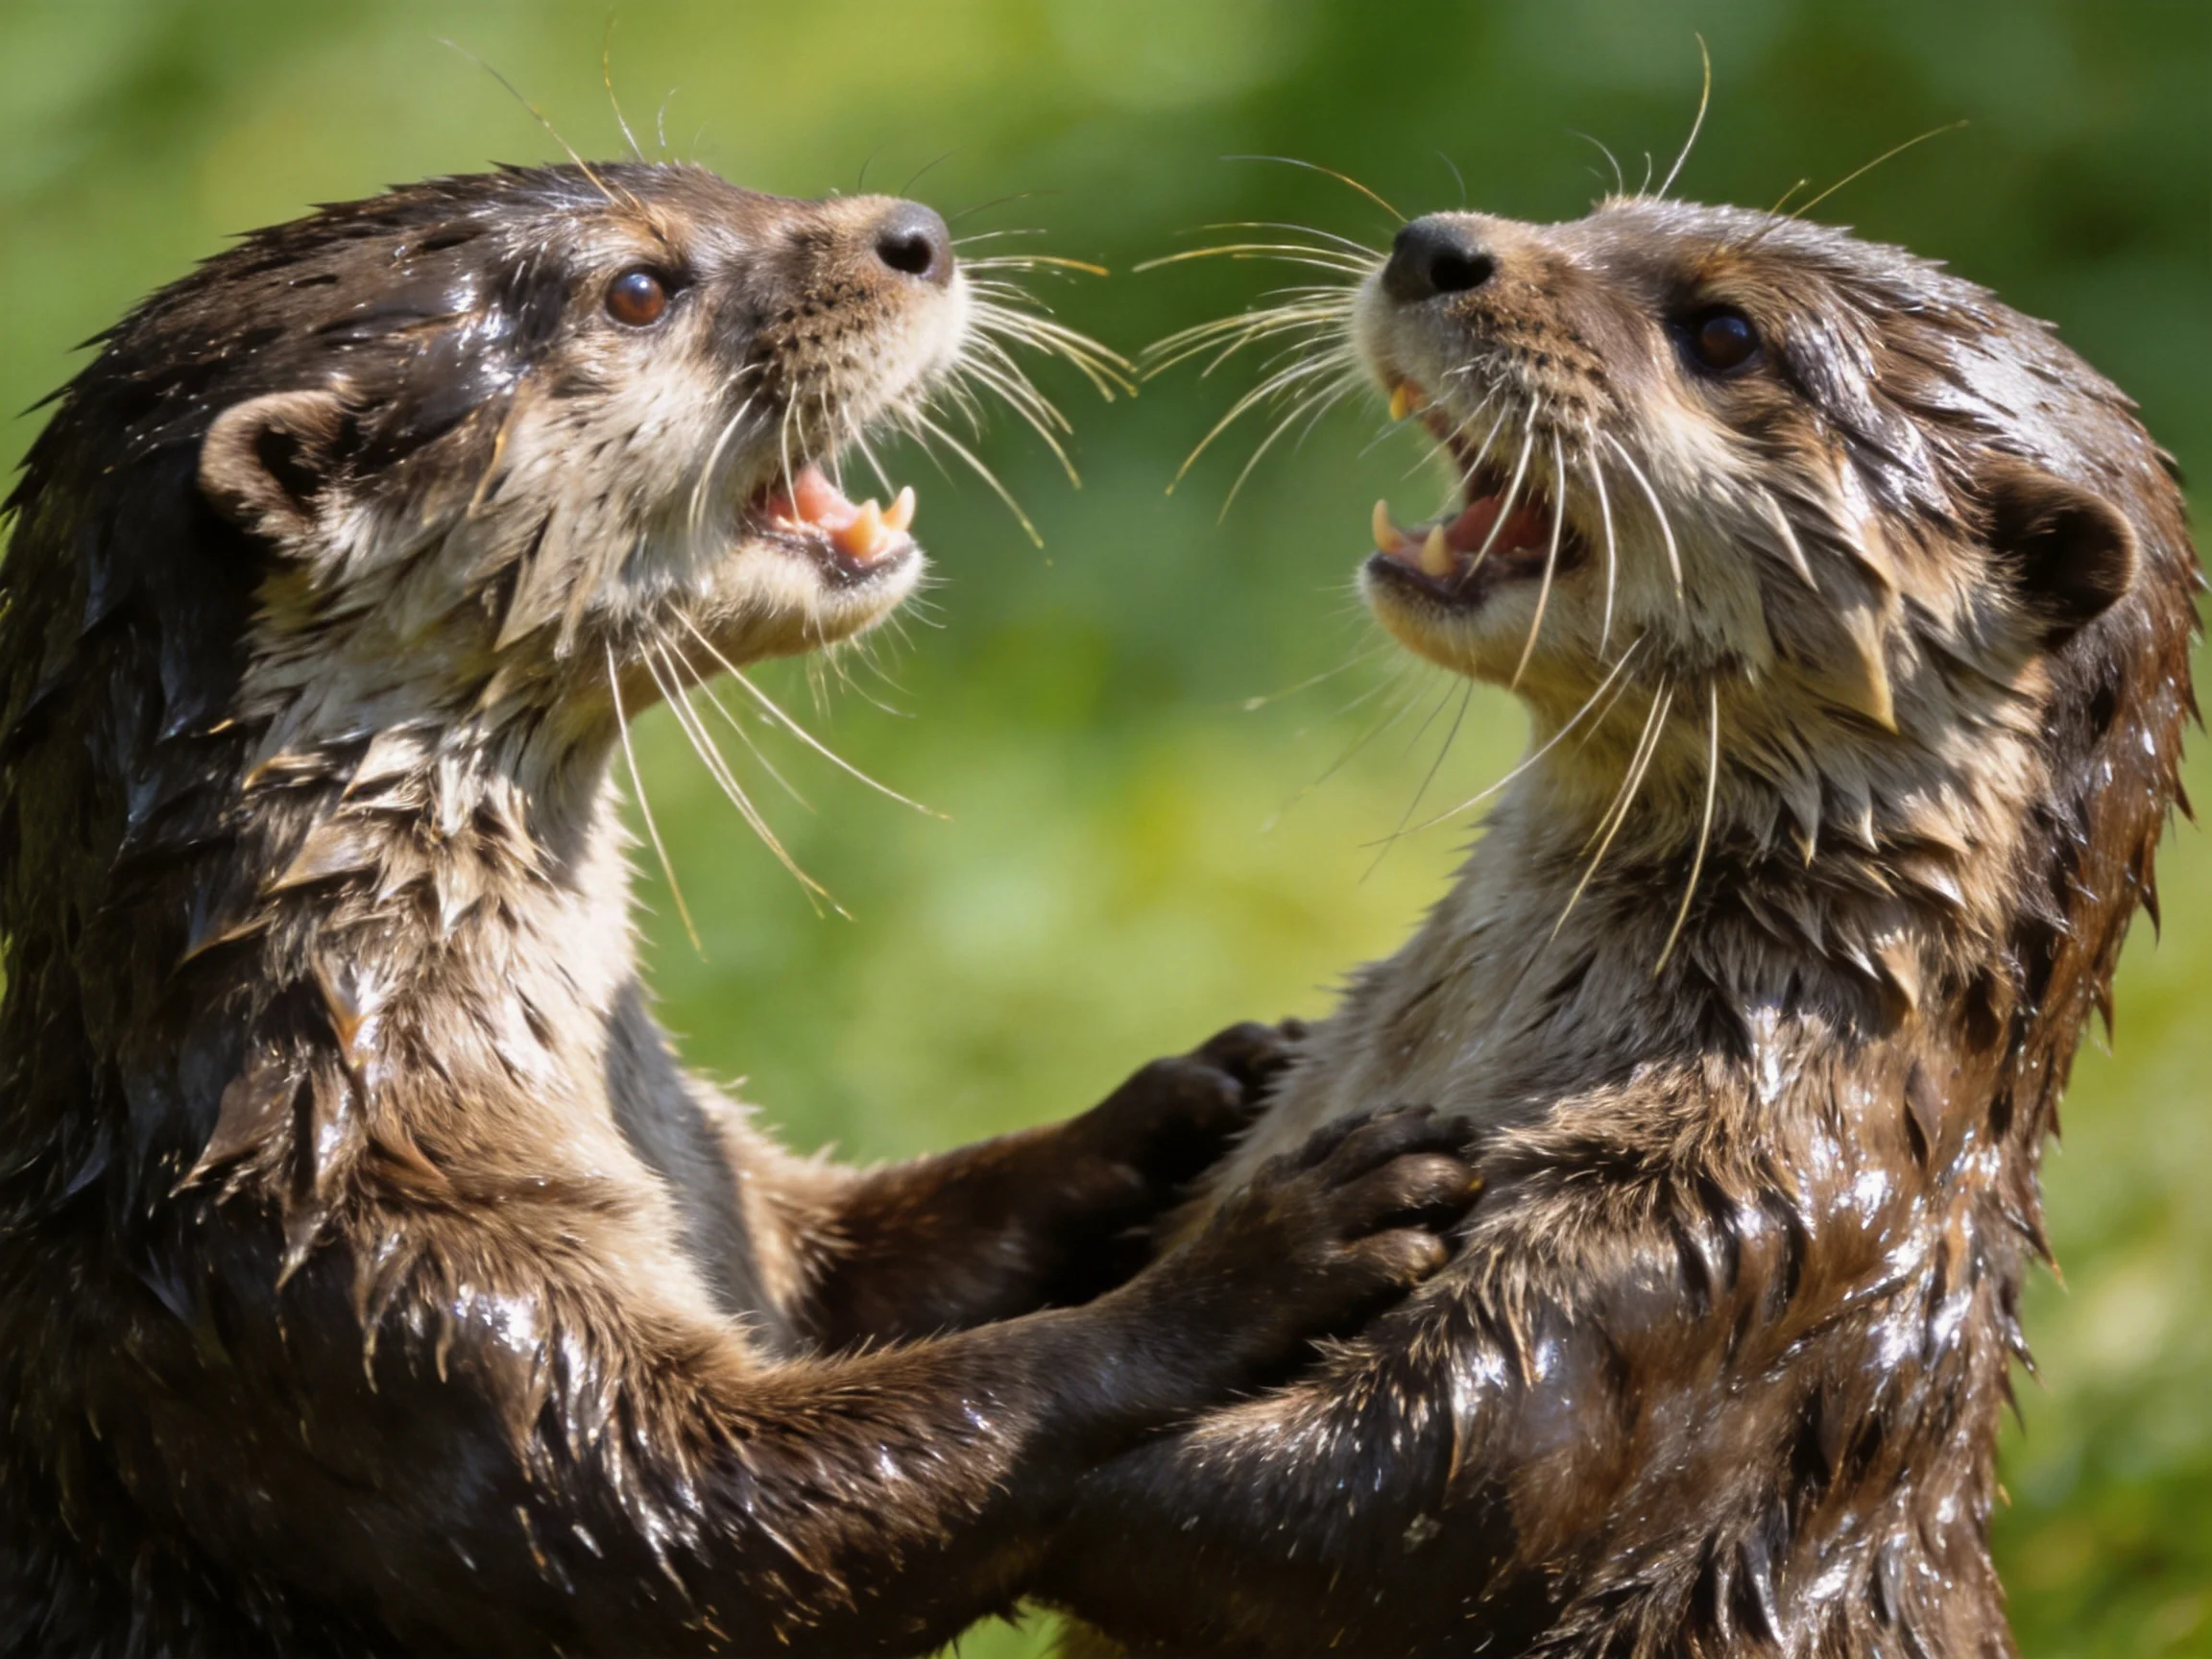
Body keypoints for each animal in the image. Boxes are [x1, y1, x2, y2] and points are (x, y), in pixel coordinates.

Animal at [0, 162, 1483, 1656]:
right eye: (638, 287)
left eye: (716, 181)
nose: (915, 235)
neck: (325, 1067)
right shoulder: (350, 1312)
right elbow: (707, 1531)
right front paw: (1272, 1254)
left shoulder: (728, 1191)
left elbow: (874, 1260)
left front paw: (1196, 1094)